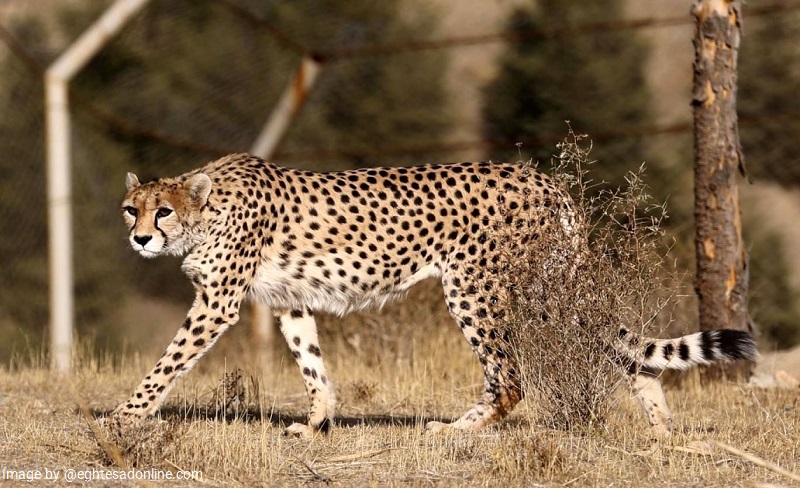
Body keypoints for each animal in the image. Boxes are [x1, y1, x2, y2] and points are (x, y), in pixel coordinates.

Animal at [112, 154, 756, 436]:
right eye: (130, 209)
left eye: (162, 211)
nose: (139, 238)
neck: (205, 210)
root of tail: (543, 177)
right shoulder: (290, 299)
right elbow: (312, 364)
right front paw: (316, 422)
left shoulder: (218, 303)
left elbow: (168, 361)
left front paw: (123, 415)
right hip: (547, 286)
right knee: (623, 351)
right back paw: (660, 429)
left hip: (480, 285)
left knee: (511, 377)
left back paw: (456, 430)